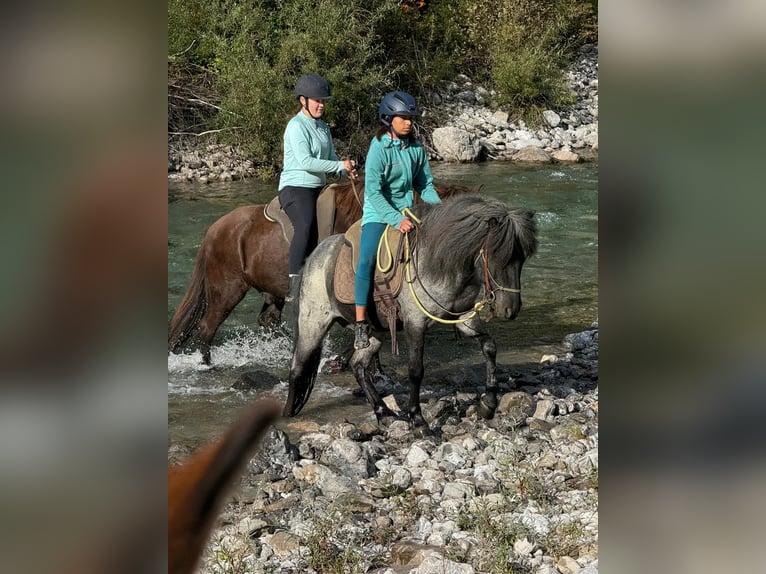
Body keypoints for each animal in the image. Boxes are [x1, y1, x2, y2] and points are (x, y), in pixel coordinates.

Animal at [168, 180, 481, 364]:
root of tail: (214, 230)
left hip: (269, 292)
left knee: (268, 321)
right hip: (227, 290)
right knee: (206, 328)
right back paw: (206, 364)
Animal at [283, 194, 538, 432]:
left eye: (522, 258)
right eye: (497, 256)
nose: (510, 309)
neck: (436, 262)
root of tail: (313, 258)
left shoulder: (463, 317)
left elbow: (489, 347)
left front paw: (489, 403)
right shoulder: (416, 323)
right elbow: (416, 370)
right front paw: (418, 420)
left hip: (374, 333)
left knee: (358, 366)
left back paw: (384, 413)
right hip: (313, 326)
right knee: (297, 368)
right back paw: (287, 414)